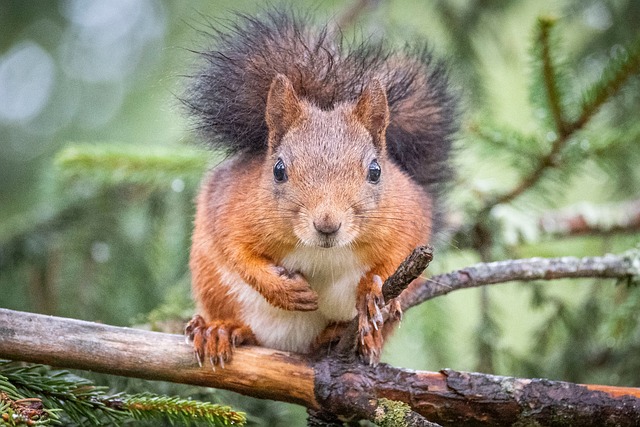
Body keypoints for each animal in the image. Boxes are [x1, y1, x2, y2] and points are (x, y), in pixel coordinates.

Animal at [183, 11, 457, 367]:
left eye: (375, 171)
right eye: (279, 170)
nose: (327, 224)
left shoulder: (407, 214)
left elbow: (400, 251)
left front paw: (372, 288)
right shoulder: (231, 209)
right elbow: (237, 252)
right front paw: (282, 289)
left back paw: (348, 337)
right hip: (212, 283)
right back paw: (219, 331)